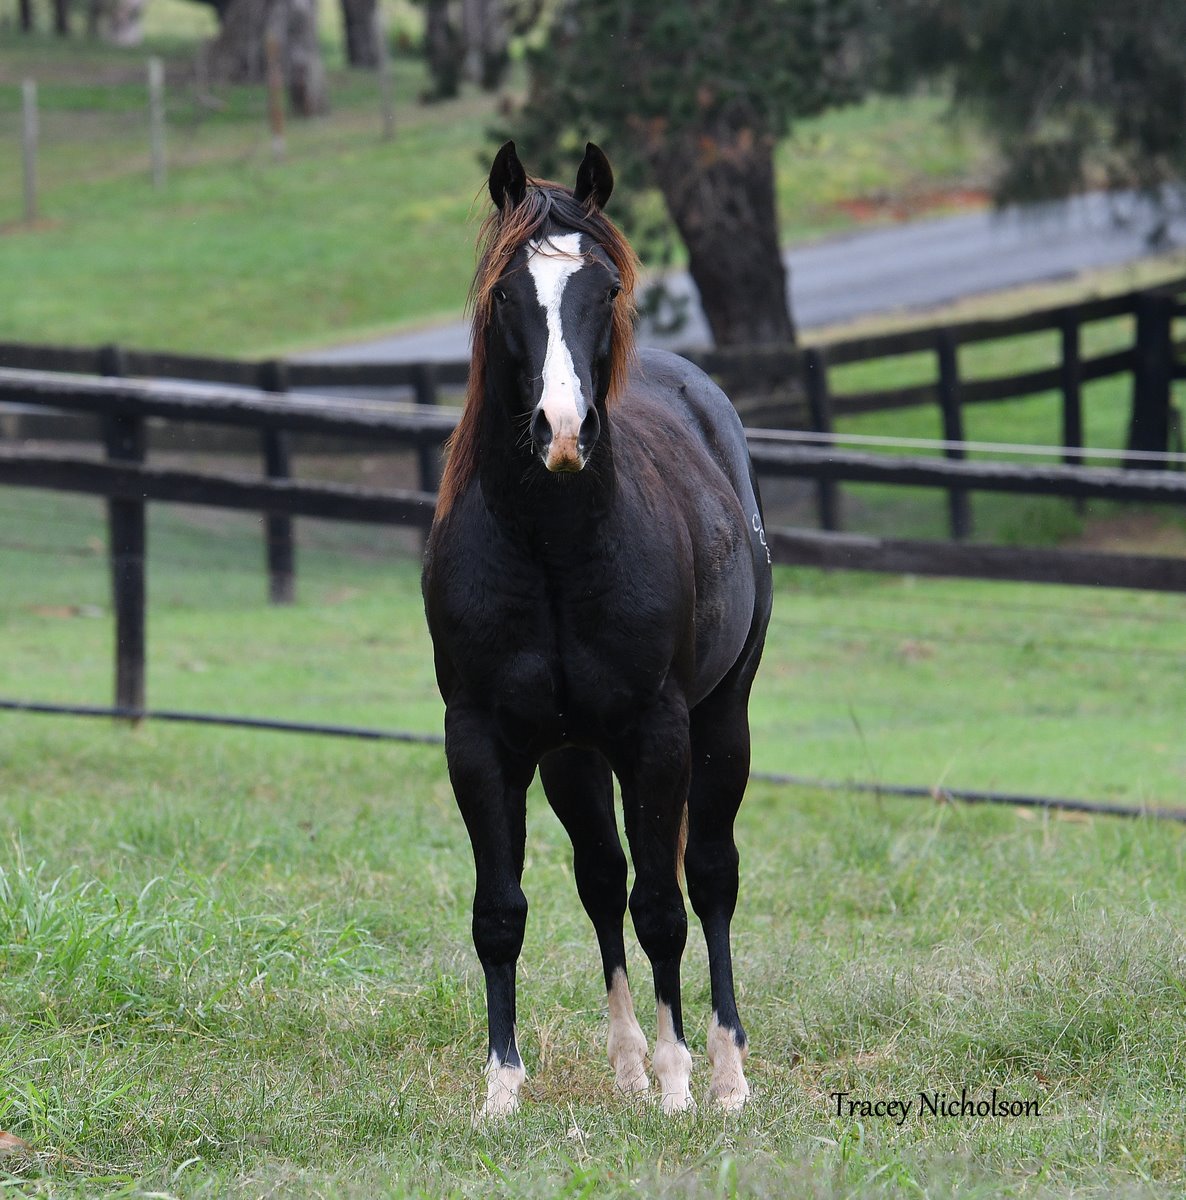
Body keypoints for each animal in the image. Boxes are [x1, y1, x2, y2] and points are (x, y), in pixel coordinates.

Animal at [421, 141, 772, 1117]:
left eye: (605, 286)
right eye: (508, 293)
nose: (563, 429)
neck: (551, 549)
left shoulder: (657, 735)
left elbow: (665, 907)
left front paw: (681, 1085)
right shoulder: (482, 741)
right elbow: (502, 912)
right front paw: (502, 1089)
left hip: (721, 725)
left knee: (710, 880)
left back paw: (725, 1072)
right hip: (572, 758)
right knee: (601, 880)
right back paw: (625, 1065)